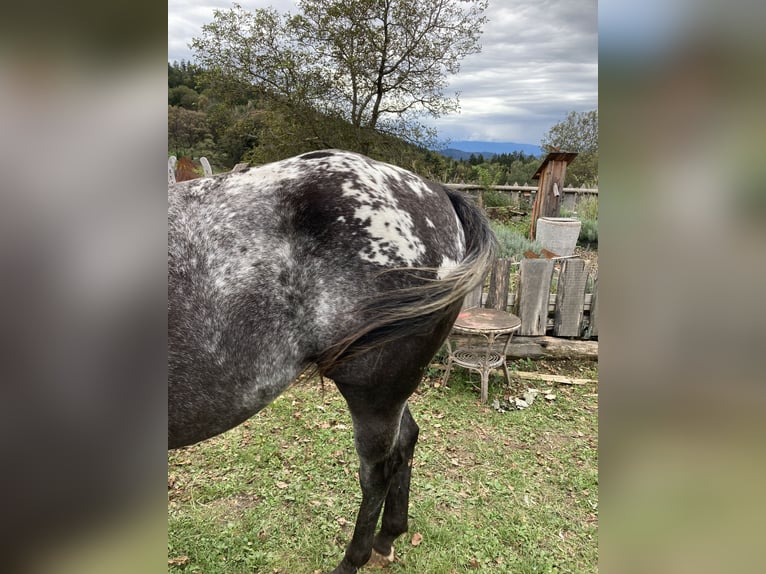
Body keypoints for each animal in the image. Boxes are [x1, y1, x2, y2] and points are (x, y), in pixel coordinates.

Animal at [166, 151, 498, 572]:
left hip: (373, 393)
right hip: (391, 390)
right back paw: (388, 536)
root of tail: (436, 192)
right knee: (407, 439)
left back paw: (354, 558)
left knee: (379, 470)